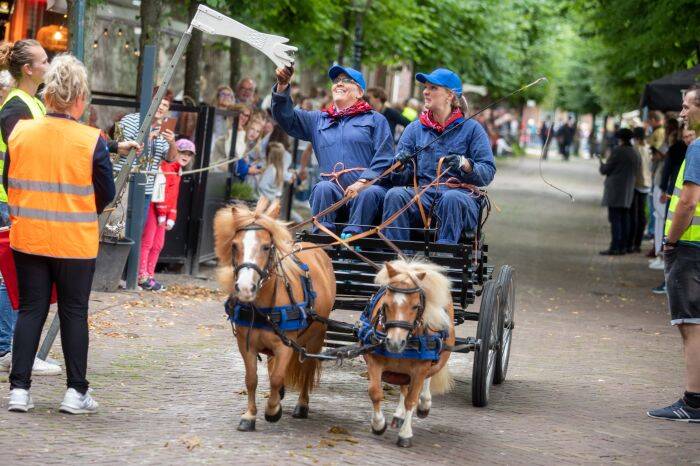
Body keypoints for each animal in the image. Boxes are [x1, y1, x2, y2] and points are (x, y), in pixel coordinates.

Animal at [212, 197, 334, 430]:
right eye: (234, 245)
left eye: (266, 246)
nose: (245, 288)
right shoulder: (246, 344)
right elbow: (251, 378)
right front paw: (250, 416)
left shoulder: (286, 346)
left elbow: (277, 377)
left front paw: (272, 410)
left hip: (316, 337)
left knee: (307, 370)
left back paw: (301, 405)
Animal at [364, 260, 456, 446]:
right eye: (385, 304)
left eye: (415, 306)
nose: (394, 342)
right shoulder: (373, 360)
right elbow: (375, 392)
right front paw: (378, 425)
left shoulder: (420, 369)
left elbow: (411, 400)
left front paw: (405, 434)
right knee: (404, 387)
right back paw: (398, 415)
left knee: (425, 382)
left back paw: (424, 403)